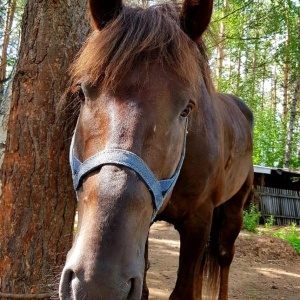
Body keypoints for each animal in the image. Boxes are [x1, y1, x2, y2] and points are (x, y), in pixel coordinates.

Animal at [59, 1, 254, 298]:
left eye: (187, 108)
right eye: (81, 92)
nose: (98, 283)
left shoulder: (199, 220)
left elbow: (183, 289)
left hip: (235, 207)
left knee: (223, 256)